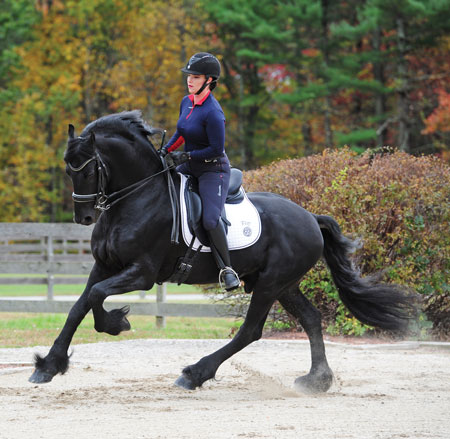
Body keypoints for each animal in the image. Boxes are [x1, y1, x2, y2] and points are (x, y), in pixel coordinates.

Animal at [29, 111, 414, 394]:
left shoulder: (142, 272)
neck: (138, 197)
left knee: (251, 330)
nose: (84, 217)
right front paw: (49, 365)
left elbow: (95, 297)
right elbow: (80, 306)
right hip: (283, 284)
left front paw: (115, 322)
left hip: (271, 284)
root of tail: (309, 217)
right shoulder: (105, 266)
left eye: (89, 168)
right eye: (68, 168)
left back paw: (194, 373)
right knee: (310, 318)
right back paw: (317, 380)